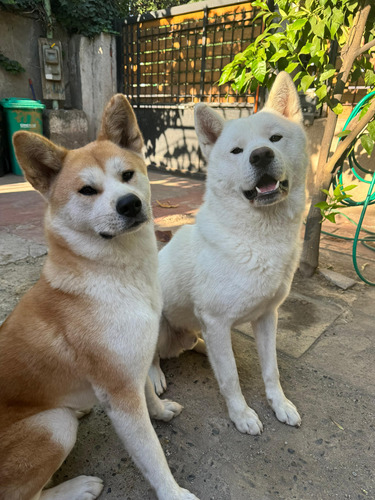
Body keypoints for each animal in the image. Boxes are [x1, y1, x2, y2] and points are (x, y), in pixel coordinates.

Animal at [0, 95, 198, 498]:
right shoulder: (119, 393)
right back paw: (77, 487)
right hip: (53, 427)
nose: (130, 204)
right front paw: (173, 493)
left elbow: (149, 397)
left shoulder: (134, 366)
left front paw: (160, 411)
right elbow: (152, 452)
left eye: (128, 175)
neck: (117, 277)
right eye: (87, 191)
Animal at [151, 72, 310, 436]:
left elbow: (271, 370)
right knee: (150, 360)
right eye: (237, 151)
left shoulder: (267, 318)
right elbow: (230, 378)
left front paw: (280, 405)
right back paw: (154, 375)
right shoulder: (217, 322)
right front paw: (241, 415)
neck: (258, 239)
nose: (261, 155)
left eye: (275, 138)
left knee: (195, 343)